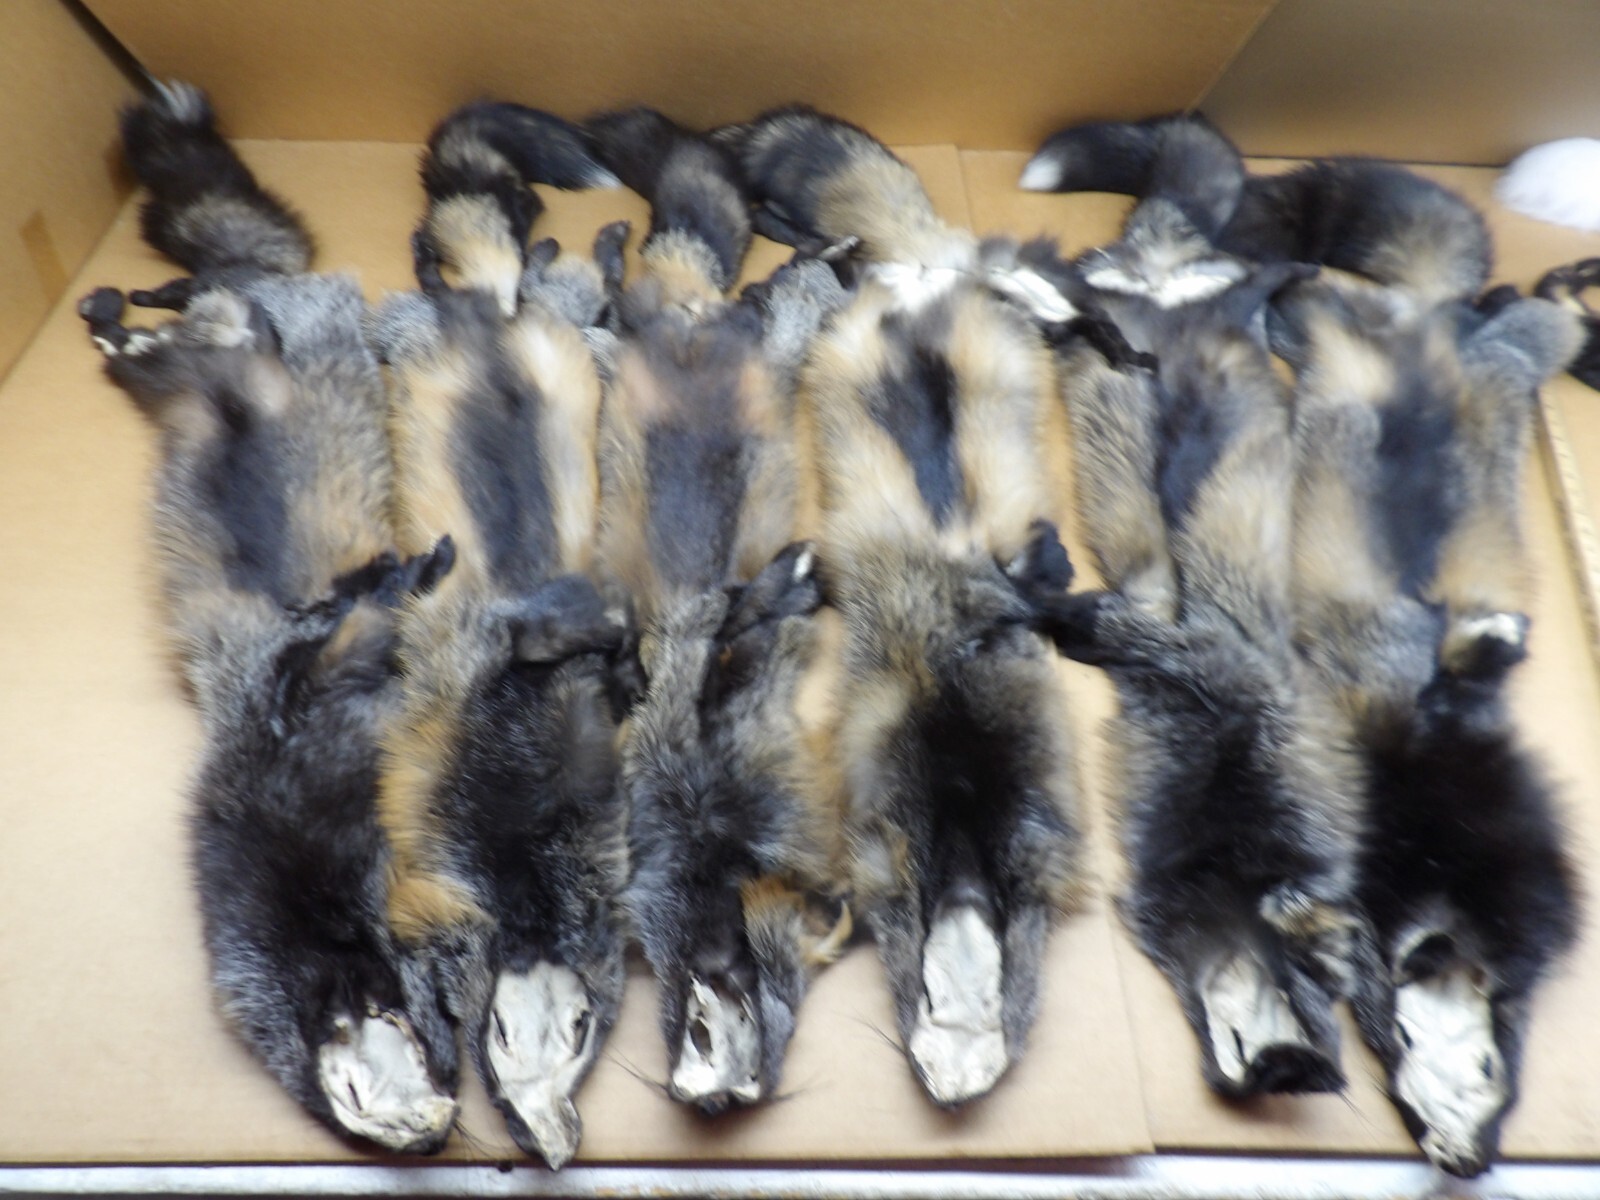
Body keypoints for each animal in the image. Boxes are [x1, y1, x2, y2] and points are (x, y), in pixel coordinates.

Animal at [81, 82, 461, 1153]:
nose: (443, 1123)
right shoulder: (286, 693)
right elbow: (336, 632)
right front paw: (404, 575)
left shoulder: (304, 690)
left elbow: (345, 627)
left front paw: (405, 574)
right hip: (191, 379)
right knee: (211, 311)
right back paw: (126, 311)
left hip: (226, 359)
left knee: (225, 299)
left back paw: (133, 305)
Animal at [580, 107, 850, 1113]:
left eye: (779, 1027)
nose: (721, 1099)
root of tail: (691, 320)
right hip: (693, 331)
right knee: (634, 298)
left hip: (743, 341)